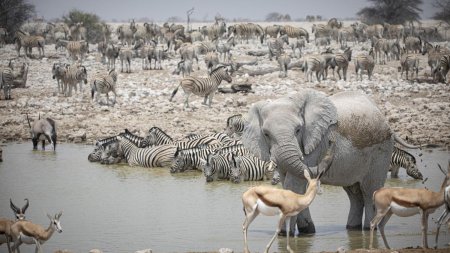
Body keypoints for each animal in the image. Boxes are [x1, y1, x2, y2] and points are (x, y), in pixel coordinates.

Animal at [241, 89, 416, 235]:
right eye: (266, 134)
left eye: (298, 130)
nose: (332, 142)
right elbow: (288, 184)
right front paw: (306, 231)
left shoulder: (316, 141)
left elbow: (294, 184)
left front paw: (285, 235)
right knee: (354, 193)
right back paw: (352, 228)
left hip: (381, 150)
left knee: (369, 190)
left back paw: (368, 229)